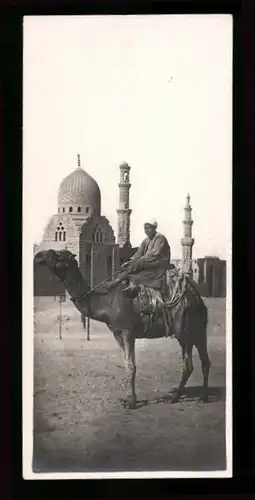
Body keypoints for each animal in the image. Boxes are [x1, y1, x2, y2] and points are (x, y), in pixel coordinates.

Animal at [34, 248, 212, 408]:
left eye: (58, 254)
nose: (38, 255)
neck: (106, 302)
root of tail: (197, 297)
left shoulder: (128, 333)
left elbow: (131, 367)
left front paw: (132, 402)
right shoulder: (118, 334)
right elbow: (127, 363)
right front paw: (128, 399)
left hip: (184, 331)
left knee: (188, 364)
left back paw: (176, 397)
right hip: (197, 330)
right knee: (204, 361)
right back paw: (202, 397)